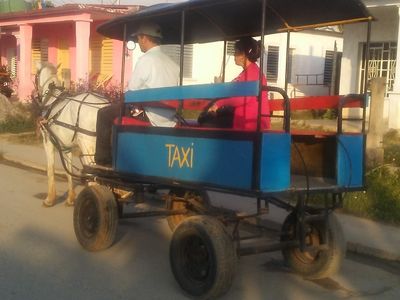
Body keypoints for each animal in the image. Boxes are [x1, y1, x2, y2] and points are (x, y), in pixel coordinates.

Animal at [35, 61, 110, 206]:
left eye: (35, 76)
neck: (52, 99)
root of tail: (102, 106)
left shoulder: (47, 141)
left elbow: (50, 168)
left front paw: (50, 199)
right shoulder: (66, 146)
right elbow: (68, 171)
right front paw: (70, 198)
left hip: (88, 146)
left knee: (94, 179)